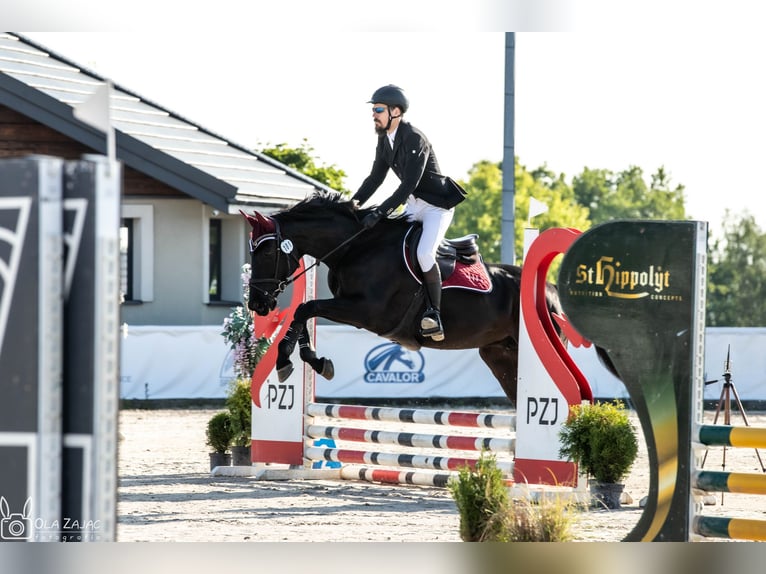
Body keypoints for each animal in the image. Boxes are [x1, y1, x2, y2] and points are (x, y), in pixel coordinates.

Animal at [246, 191, 616, 402]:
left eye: (266, 253)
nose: (257, 304)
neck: (356, 246)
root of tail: (549, 289)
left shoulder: (366, 311)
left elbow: (305, 308)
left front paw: (288, 361)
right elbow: (304, 312)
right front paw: (311, 360)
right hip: (500, 355)